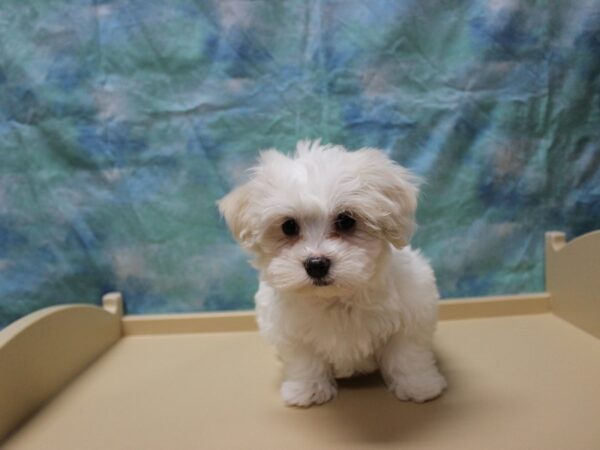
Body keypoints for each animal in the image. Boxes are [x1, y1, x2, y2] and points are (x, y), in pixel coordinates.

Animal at [219, 141, 446, 408]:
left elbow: (408, 354)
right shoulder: (290, 331)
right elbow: (304, 361)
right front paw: (308, 390)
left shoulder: (412, 314)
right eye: (288, 226)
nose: (316, 264)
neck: (335, 298)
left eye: (346, 220)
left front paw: (419, 386)